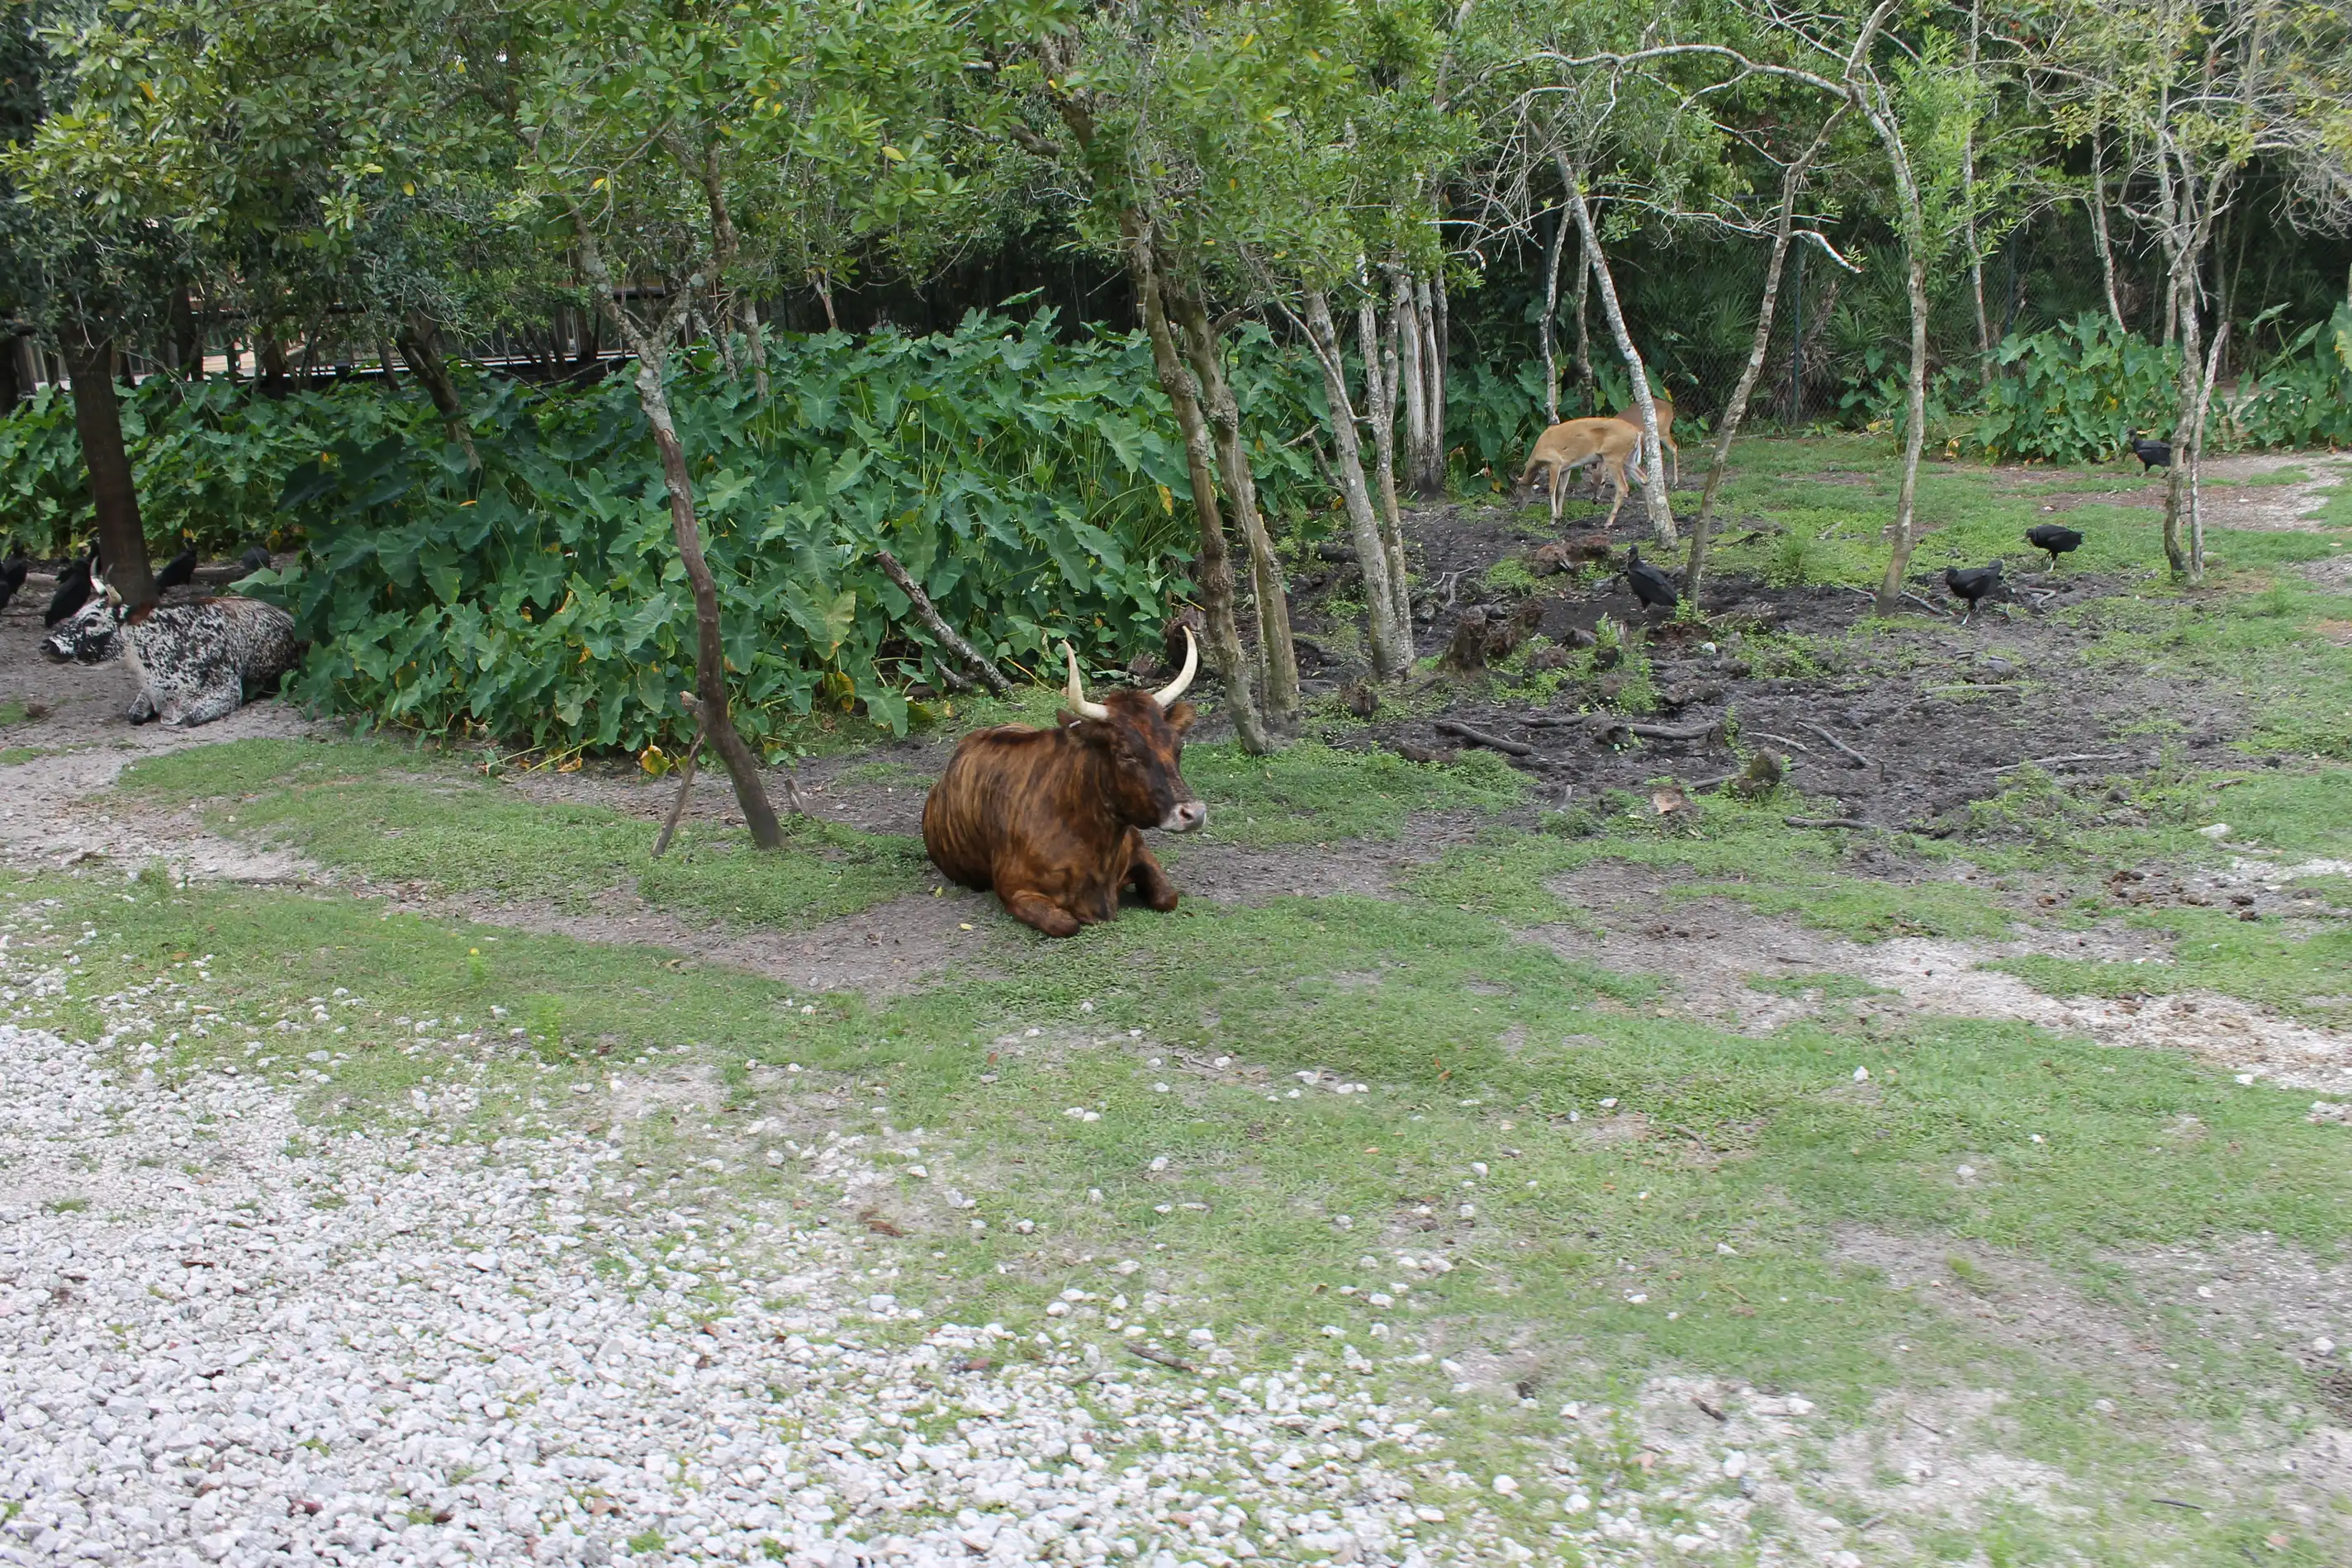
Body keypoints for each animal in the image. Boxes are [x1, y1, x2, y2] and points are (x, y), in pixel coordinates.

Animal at [41, 592, 301, 733]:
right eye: (76, 614)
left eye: (92, 621)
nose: (47, 645)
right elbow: (134, 714)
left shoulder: (227, 693)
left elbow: (189, 718)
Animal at [922, 630, 1204, 940]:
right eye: (1127, 753)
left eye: (1177, 747)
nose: (1194, 813)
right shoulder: (1015, 891)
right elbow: (1066, 924)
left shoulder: (1141, 853)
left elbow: (1168, 897)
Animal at [1515, 415, 1646, 526]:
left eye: (1518, 492)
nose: (1519, 508)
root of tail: (1637, 433)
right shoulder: (1566, 467)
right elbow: (1561, 490)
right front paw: (1559, 515)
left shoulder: (1555, 462)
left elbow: (1552, 489)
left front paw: (1553, 518)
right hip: (1629, 460)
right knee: (1644, 480)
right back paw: (1649, 518)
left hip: (1614, 457)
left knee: (1623, 487)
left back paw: (1608, 522)